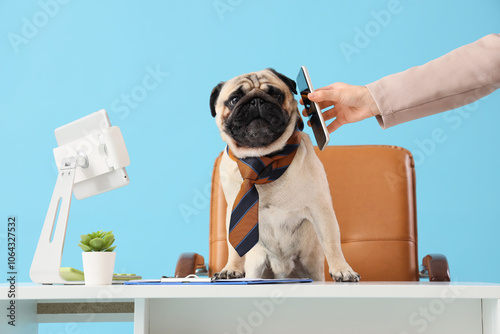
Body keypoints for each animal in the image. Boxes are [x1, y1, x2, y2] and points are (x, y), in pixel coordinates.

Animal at [210, 68, 360, 282]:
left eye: (276, 95)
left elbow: (332, 243)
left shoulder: (321, 209)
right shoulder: (233, 211)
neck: (263, 158)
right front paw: (232, 269)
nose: (256, 101)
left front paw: (342, 269)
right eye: (234, 99)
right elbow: (234, 247)